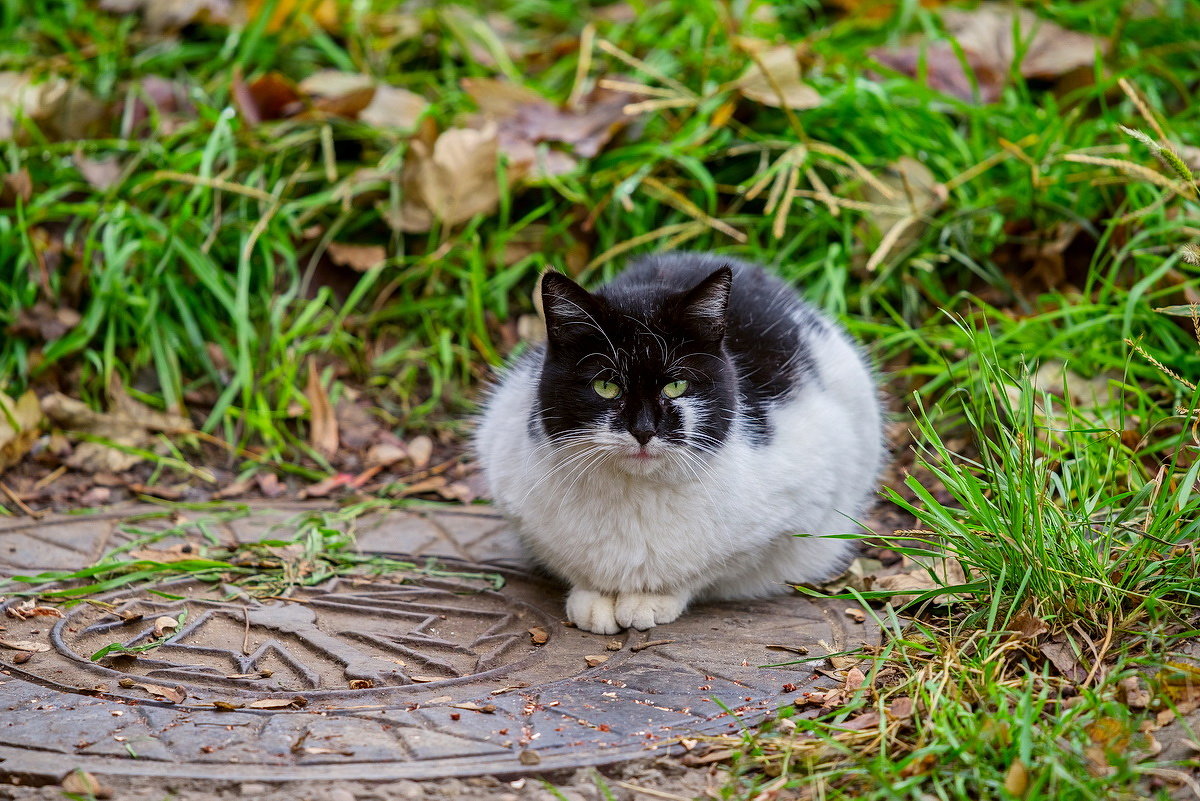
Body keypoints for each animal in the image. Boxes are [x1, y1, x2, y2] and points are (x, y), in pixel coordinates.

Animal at [475, 253, 883, 633]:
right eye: (605, 385)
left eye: (676, 385)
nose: (643, 429)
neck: (636, 498)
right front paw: (594, 599)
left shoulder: (803, 502)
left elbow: (709, 569)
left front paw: (649, 600)